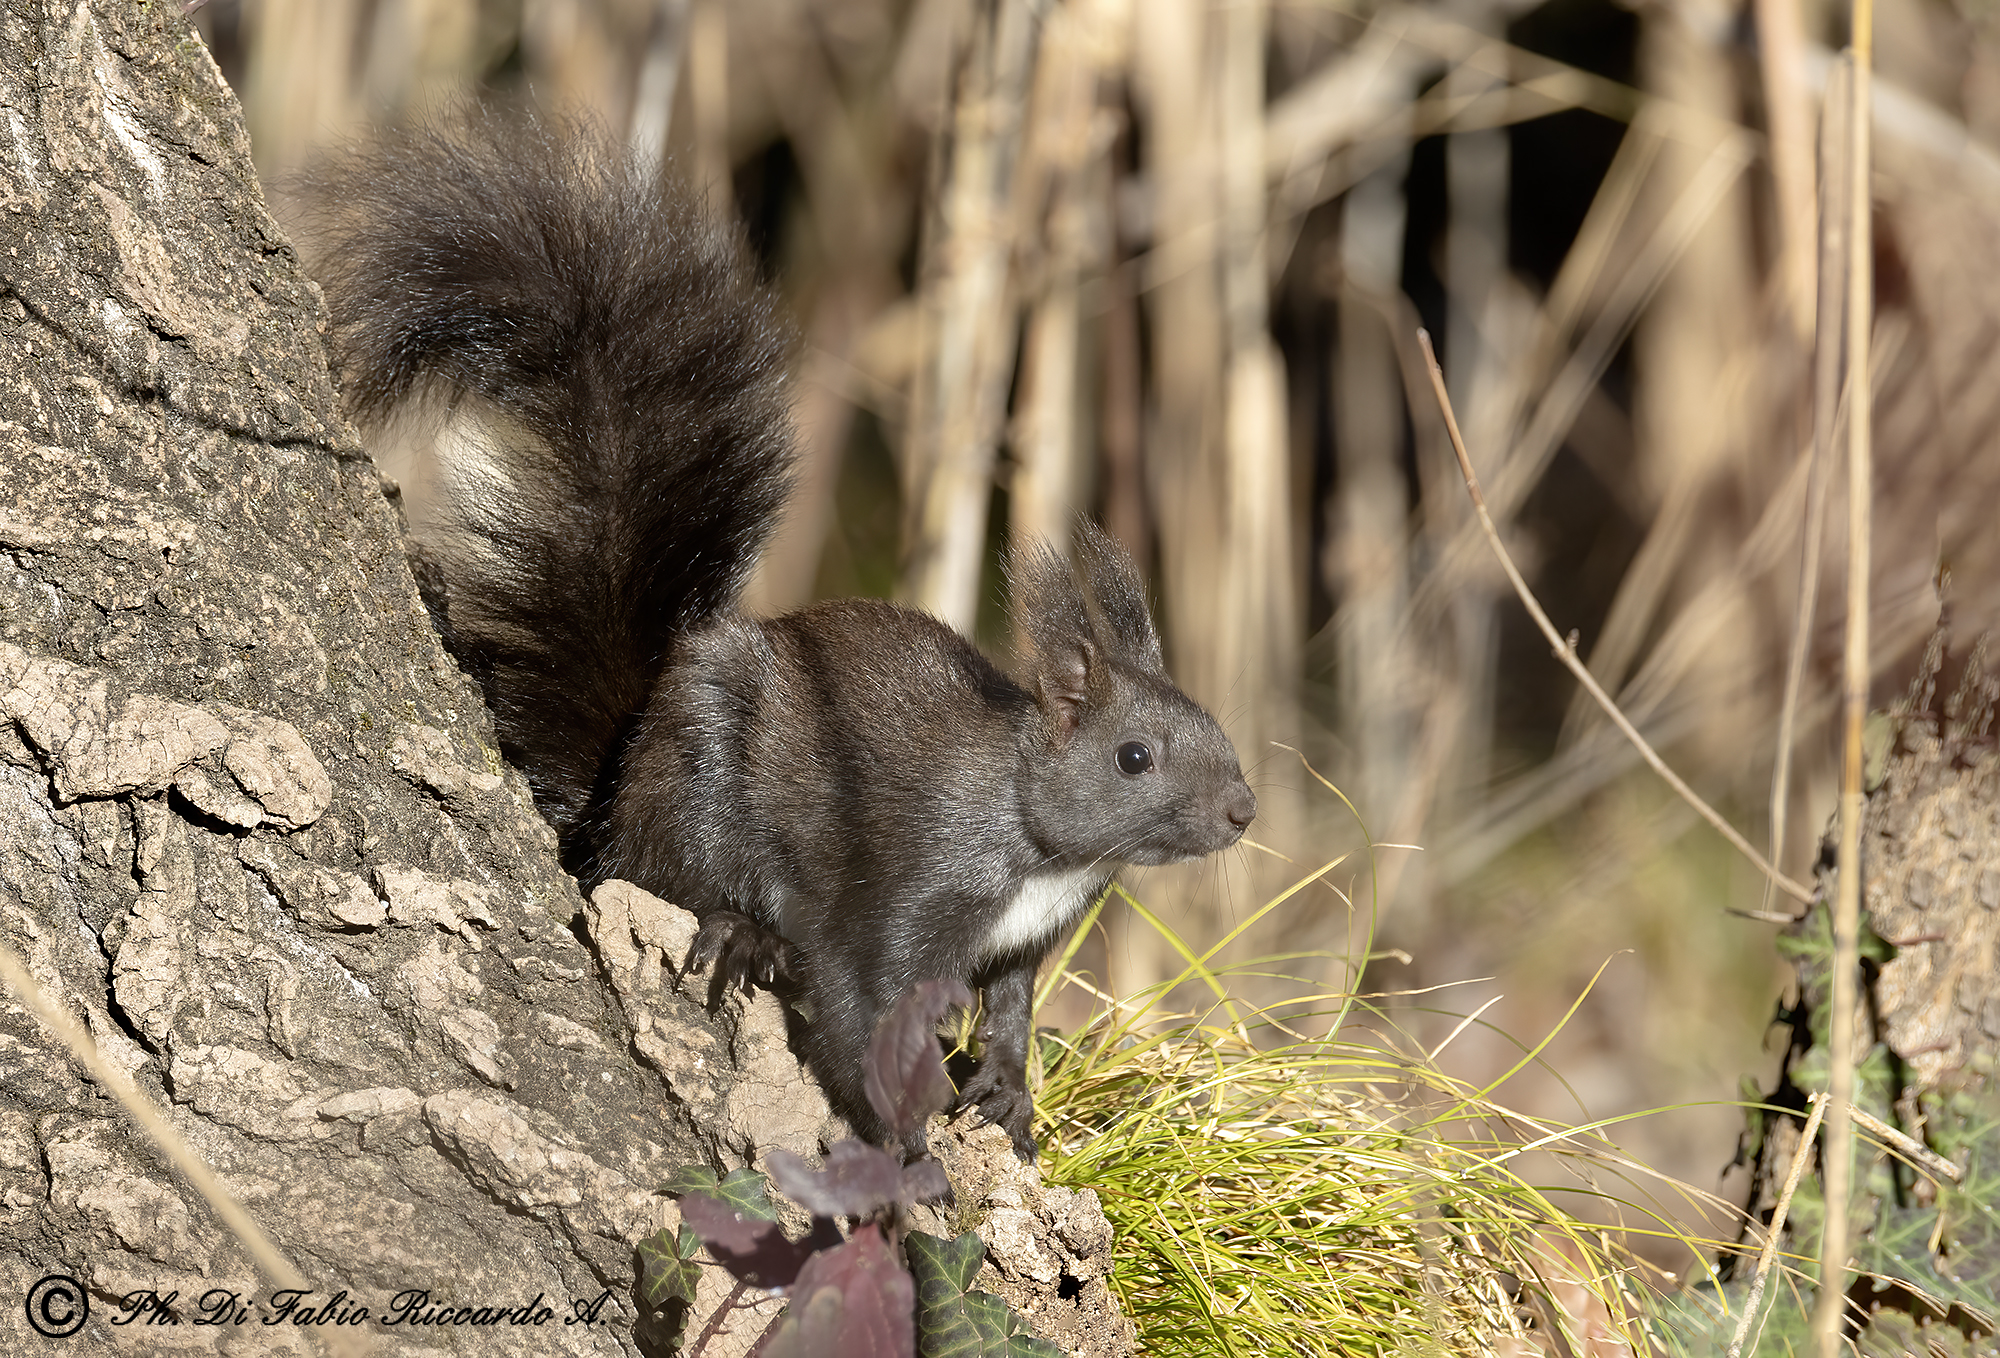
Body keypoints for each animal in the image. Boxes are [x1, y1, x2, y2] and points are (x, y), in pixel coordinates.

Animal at [306, 107, 1256, 1160]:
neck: (1042, 843)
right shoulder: (908, 886)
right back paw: (740, 929)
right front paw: (908, 1154)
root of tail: (614, 791)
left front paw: (1007, 1095)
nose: (1243, 810)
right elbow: (855, 1001)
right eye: (1135, 757)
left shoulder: (1023, 942)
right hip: (700, 787)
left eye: (1215, 728)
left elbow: (1011, 1014)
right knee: (658, 873)